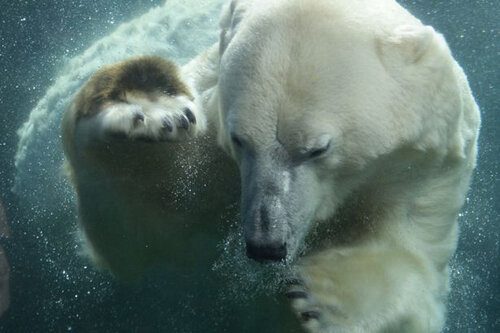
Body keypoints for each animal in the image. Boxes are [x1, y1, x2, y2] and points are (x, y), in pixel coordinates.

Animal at [61, 0, 480, 330]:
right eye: (240, 140)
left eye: (317, 149)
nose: (266, 245)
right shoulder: (215, 154)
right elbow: (137, 233)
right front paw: (150, 107)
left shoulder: (421, 177)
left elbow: (416, 271)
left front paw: (320, 296)